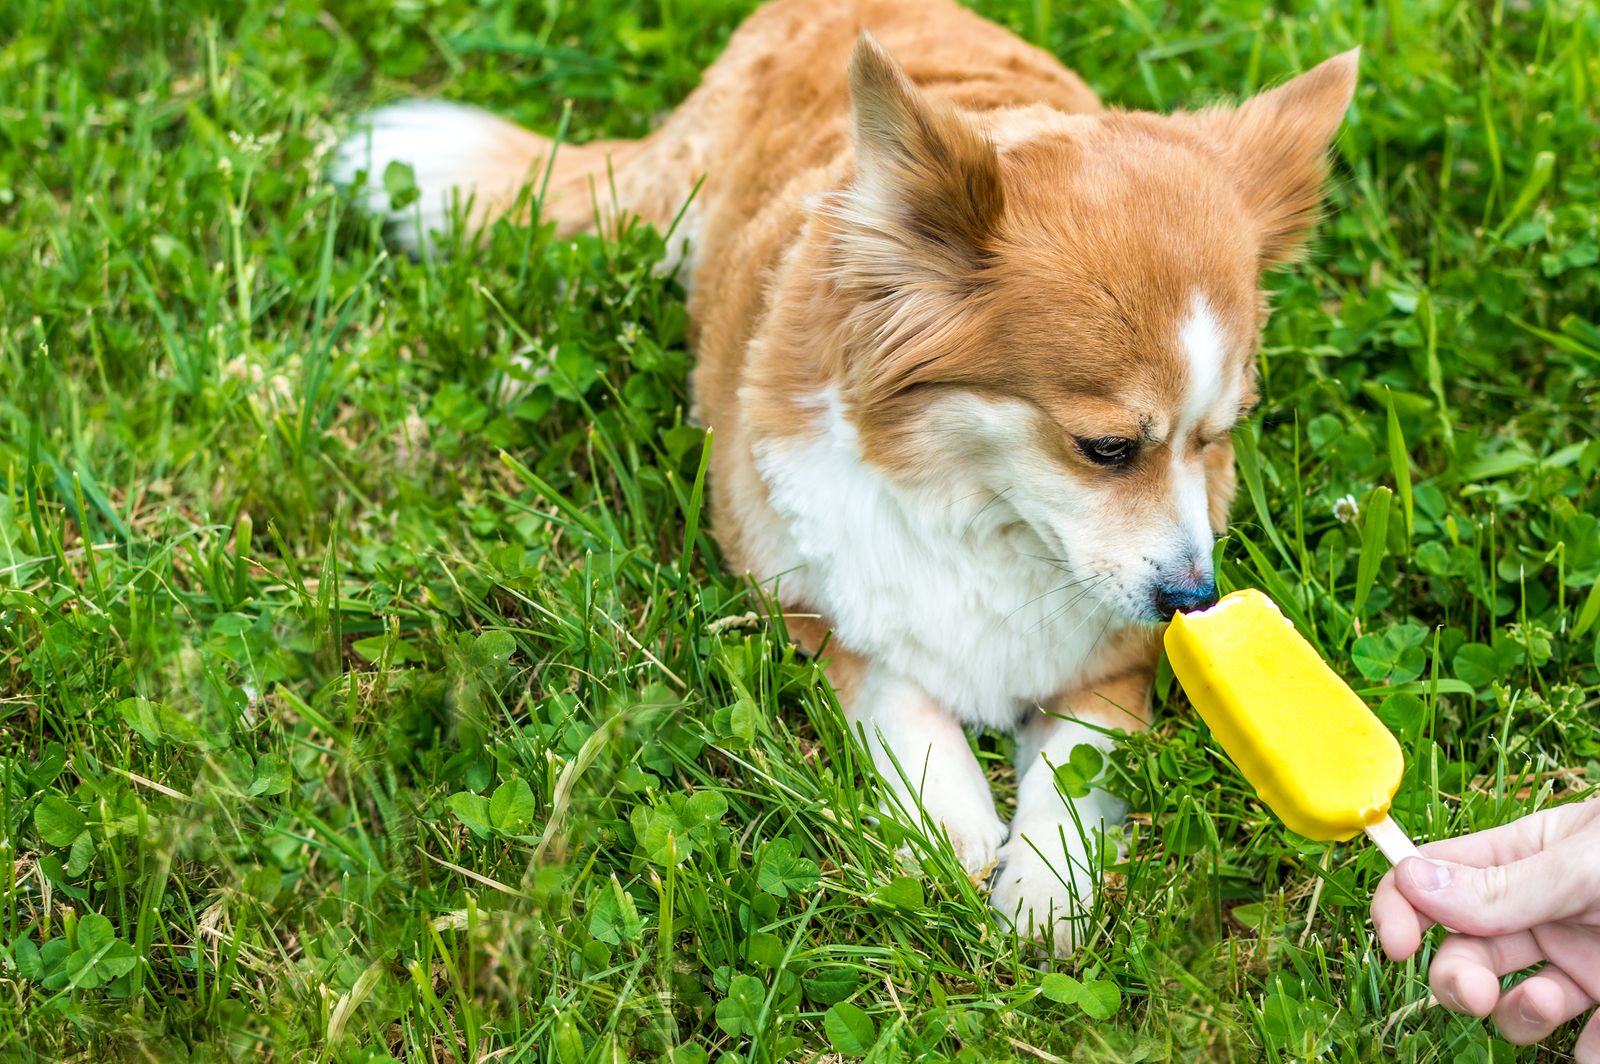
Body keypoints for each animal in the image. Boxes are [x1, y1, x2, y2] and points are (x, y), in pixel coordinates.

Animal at [334, 0, 1350, 947]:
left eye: (1219, 436)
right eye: (1105, 448)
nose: (1192, 600)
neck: (983, 513)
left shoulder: (1114, 663)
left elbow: (1076, 763)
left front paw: (1045, 887)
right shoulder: (814, 604)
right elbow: (900, 697)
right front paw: (952, 826)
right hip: (666, 219)